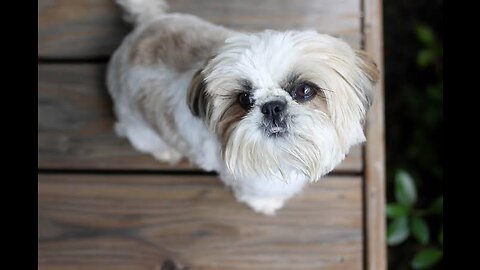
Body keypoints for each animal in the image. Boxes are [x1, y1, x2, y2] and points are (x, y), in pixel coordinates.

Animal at [108, 0, 378, 215]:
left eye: (304, 90)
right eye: (245, 99)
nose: (272, 107)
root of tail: (144, 25)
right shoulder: (256, 185)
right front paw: (267, 205)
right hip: (139, 131)